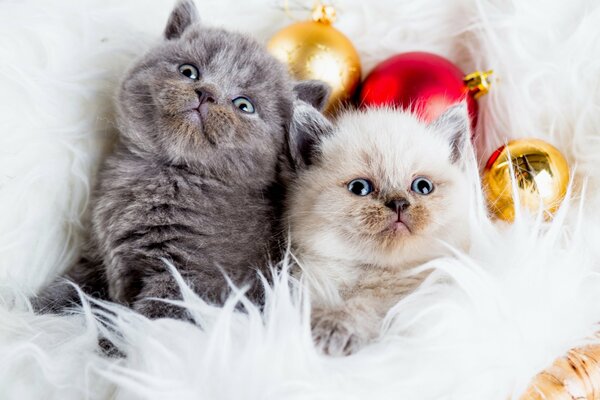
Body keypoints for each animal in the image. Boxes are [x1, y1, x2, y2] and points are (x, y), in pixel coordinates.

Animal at [35, 0, 328, 318]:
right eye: (189, 71)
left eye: (244, 105)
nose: (206, 93)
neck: (165, 172)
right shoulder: (96, 256)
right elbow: (71, 287)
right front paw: (32, 309)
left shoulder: (188, 278)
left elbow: (149, 320)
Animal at [286, 103, 474, 356]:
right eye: (359, 188)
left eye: (422, 186)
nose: (398, 203)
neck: (377, 271)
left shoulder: (408, 301)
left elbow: (363, 307)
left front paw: (334, 329)